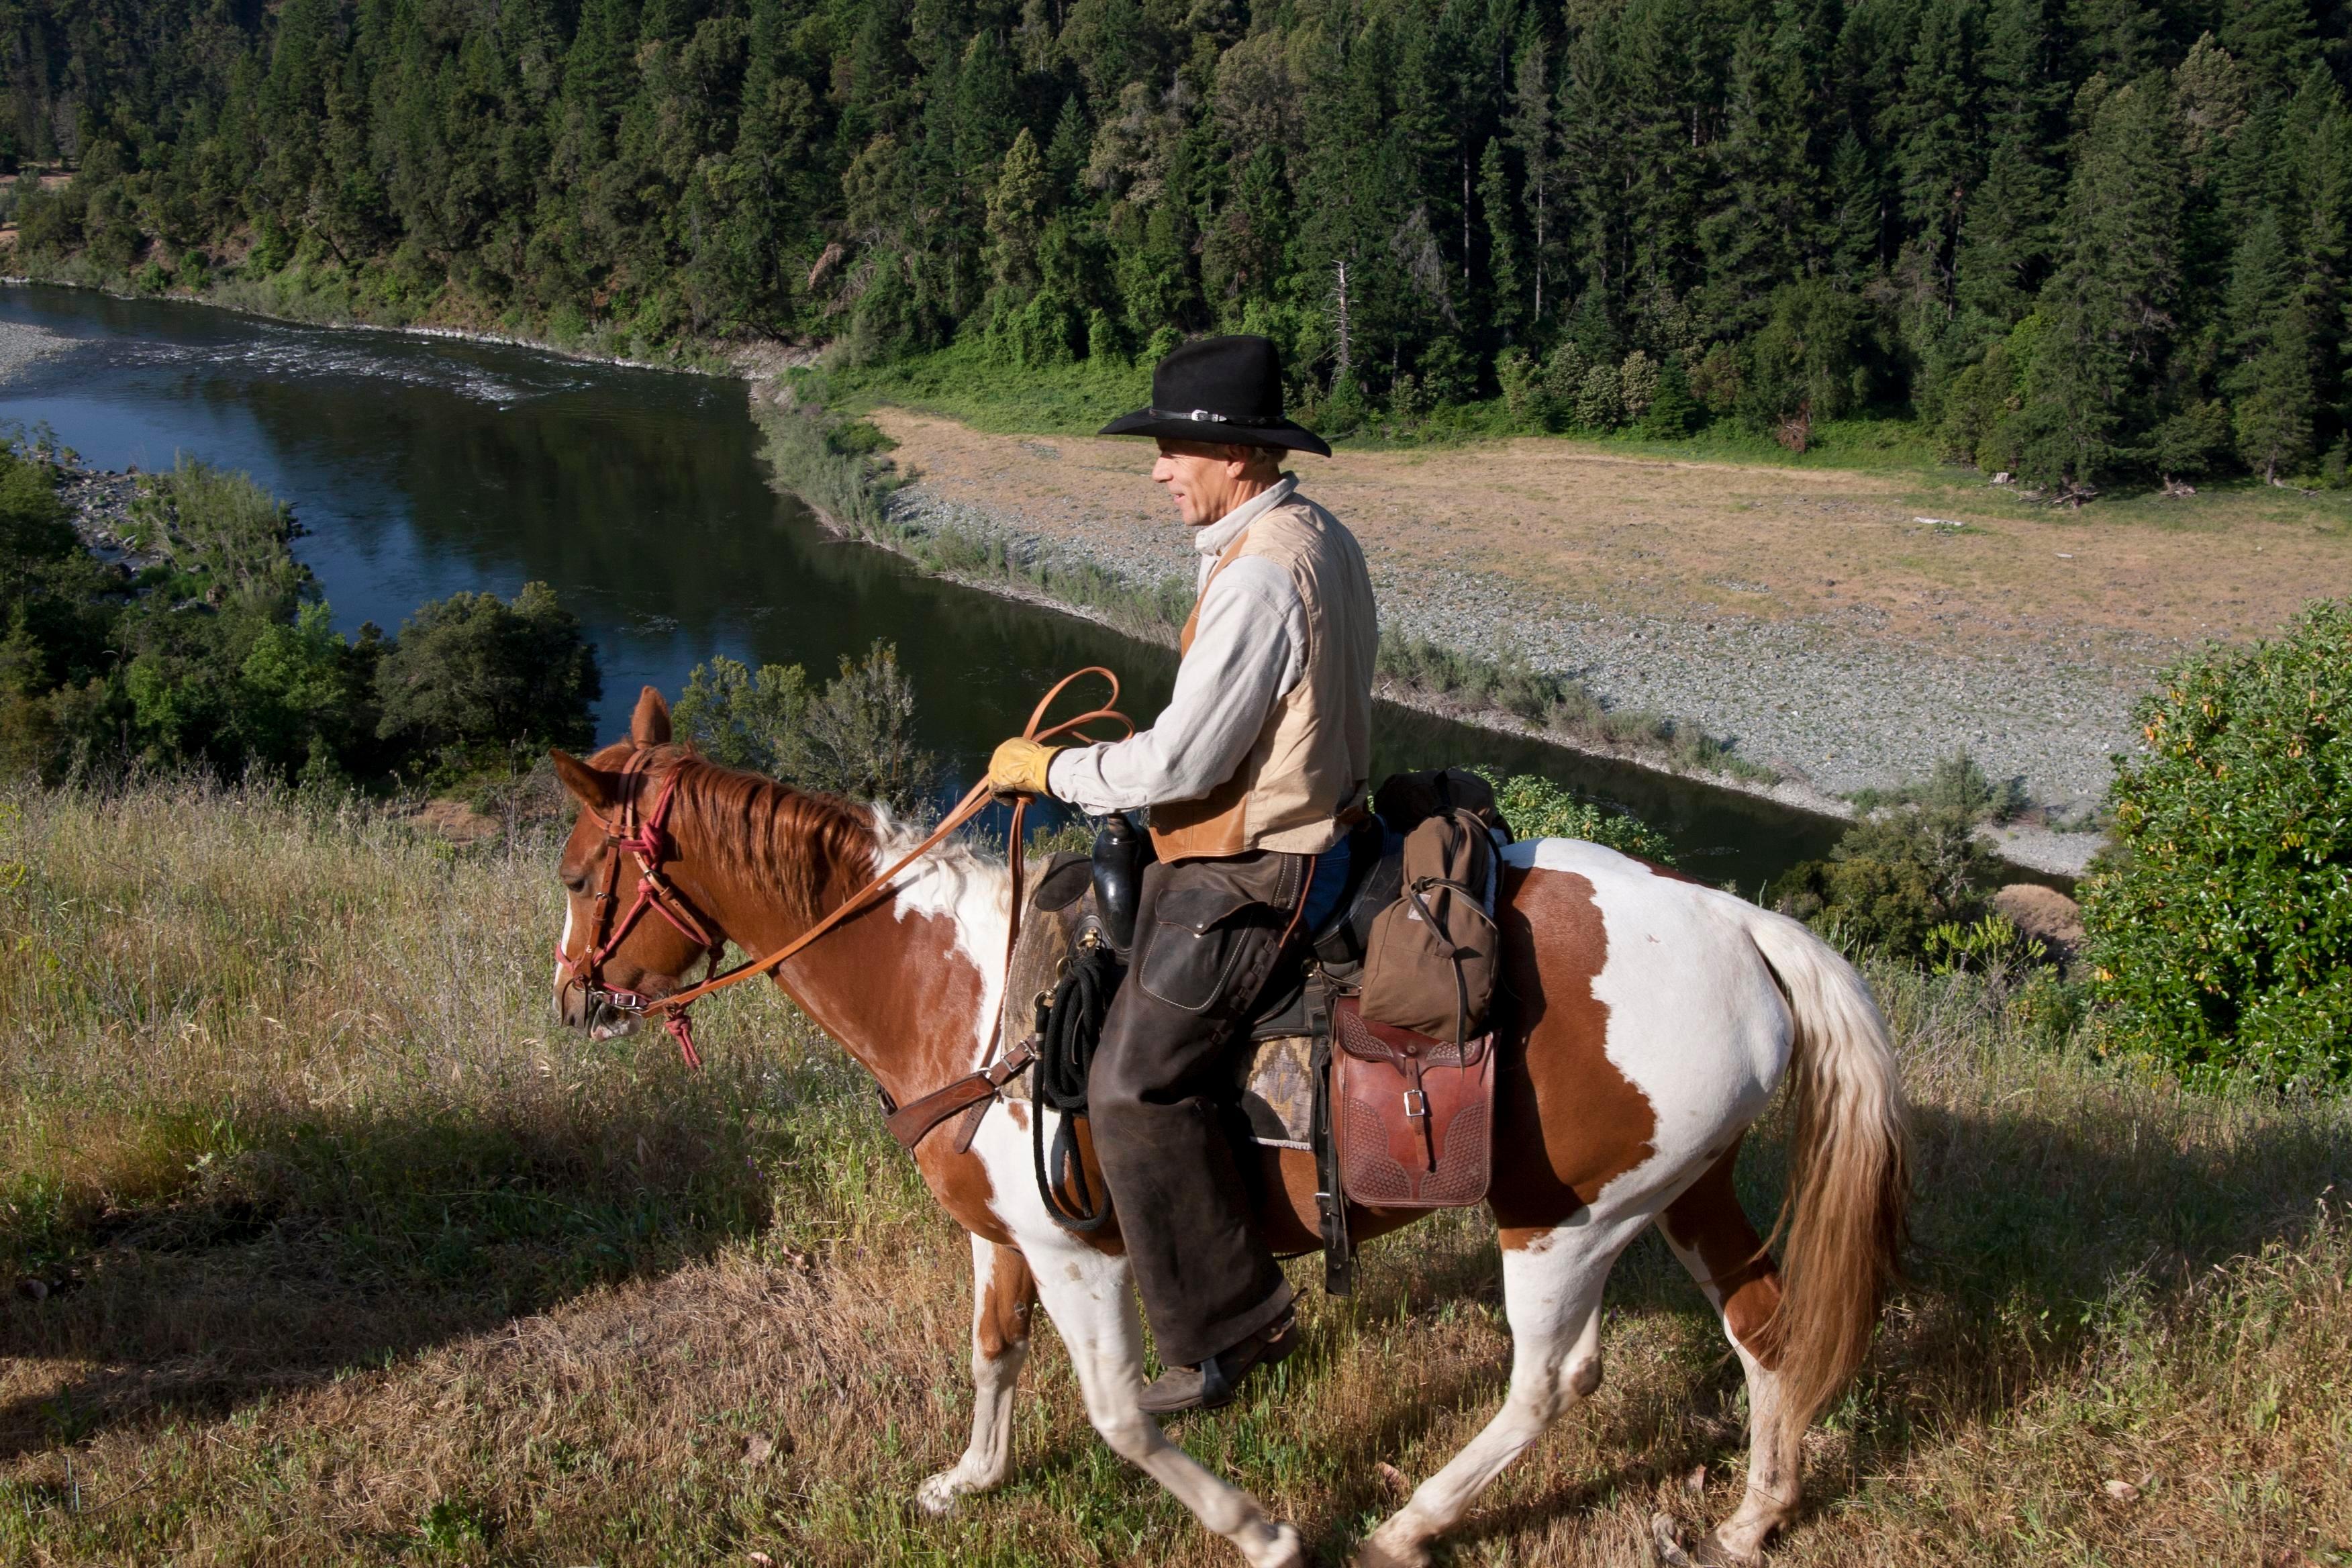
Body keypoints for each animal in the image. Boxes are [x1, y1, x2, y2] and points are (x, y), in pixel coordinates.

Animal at [550, 691, 1910, 1561]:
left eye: (575, 877)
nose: (572, 999)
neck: (965, 992)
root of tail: (1738, 922)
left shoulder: (1075, 1249)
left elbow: (1110, 1410)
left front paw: (1258, 1530)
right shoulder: (1001, 1237)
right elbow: (992, 1351)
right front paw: (971, 1478)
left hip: (1563, 1220)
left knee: (1546, 1383)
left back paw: (1407, 1526)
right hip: (1681, 1187)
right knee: (1762, 1326)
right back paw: (1752, 1516)